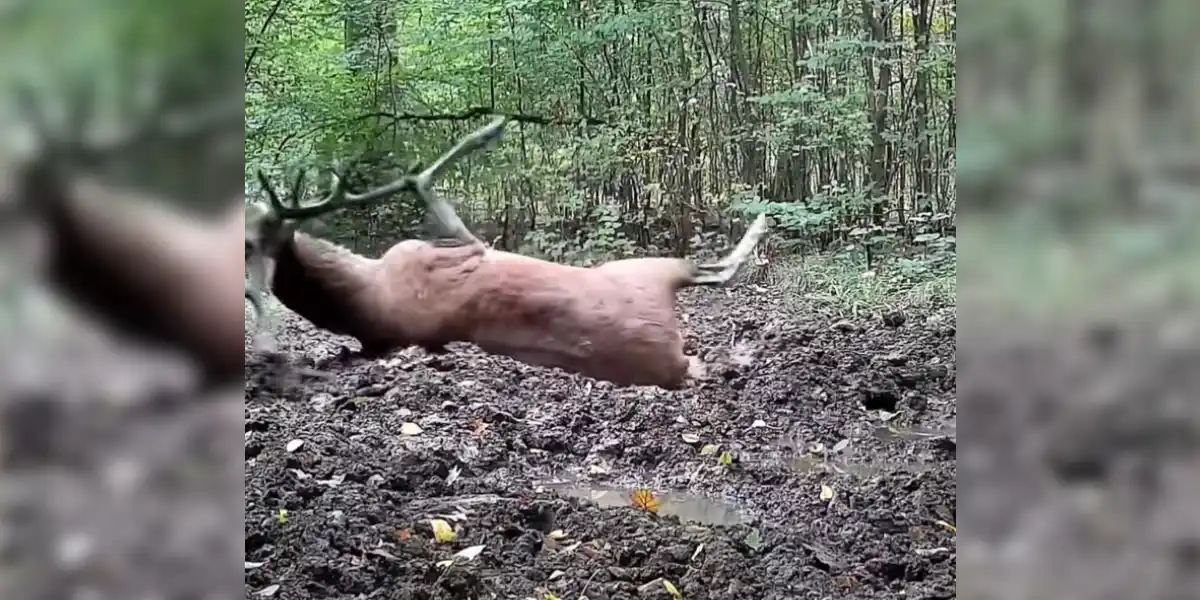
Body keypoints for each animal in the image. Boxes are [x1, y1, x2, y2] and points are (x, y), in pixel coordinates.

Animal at [245, 116, 769, 390]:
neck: (366, 288)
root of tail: (674, 359)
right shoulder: (461, 247)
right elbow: (433, 192)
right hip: (644, 268)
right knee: (715, 271)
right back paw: (761, 222)